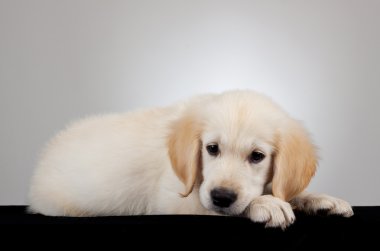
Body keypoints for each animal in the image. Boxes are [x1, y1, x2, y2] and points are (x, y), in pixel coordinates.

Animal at [27, 89, 354, 227]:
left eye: (257, 156)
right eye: (212, 149)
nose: (222, 196)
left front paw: (320, 200)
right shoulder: (172, 200)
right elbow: (214, 208)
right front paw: (265, 204)